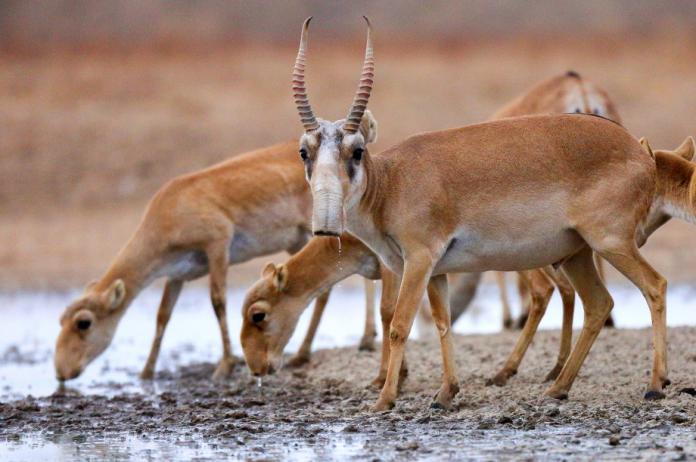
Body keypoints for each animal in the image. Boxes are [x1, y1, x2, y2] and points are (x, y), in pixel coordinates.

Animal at [53, 132, 378, 380]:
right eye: (60, 319)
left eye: (84, 322)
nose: (60, 373)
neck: (168, 210)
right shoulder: (177, 275)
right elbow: (163, 315)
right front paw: (146, 372)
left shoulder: (217, 245)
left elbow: (218, 301)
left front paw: (225, 365)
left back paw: (344, 344)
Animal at [284, 17, 668, 412]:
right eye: (304, 151)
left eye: (357, 150)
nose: (326, 225)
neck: (391, 182)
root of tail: (640, 151)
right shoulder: (436, 271)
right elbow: (443, 323)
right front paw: (445, 393)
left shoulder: (418, 261)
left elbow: (400, 325)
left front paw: (384, 399)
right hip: (576, 254)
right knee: (599, 304)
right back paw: (557, 388)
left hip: (611, 243)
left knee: (654, 286)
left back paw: (654, 385)